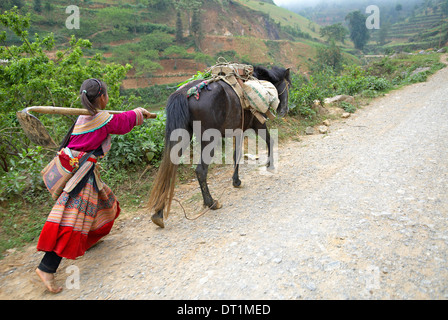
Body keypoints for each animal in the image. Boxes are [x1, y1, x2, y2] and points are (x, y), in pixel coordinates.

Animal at [147, 65, 292, 228]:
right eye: (287, 86)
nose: (284, 110)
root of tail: (184, 93)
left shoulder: (238, 130)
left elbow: (236, 155)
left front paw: (236, 181)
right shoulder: (258, 124)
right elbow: (269, 141)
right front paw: (269, 166)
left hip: (182, 134)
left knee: (168, 169)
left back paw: (158, 213)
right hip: (209, 139)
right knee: (200, 170)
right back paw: (211, 202)